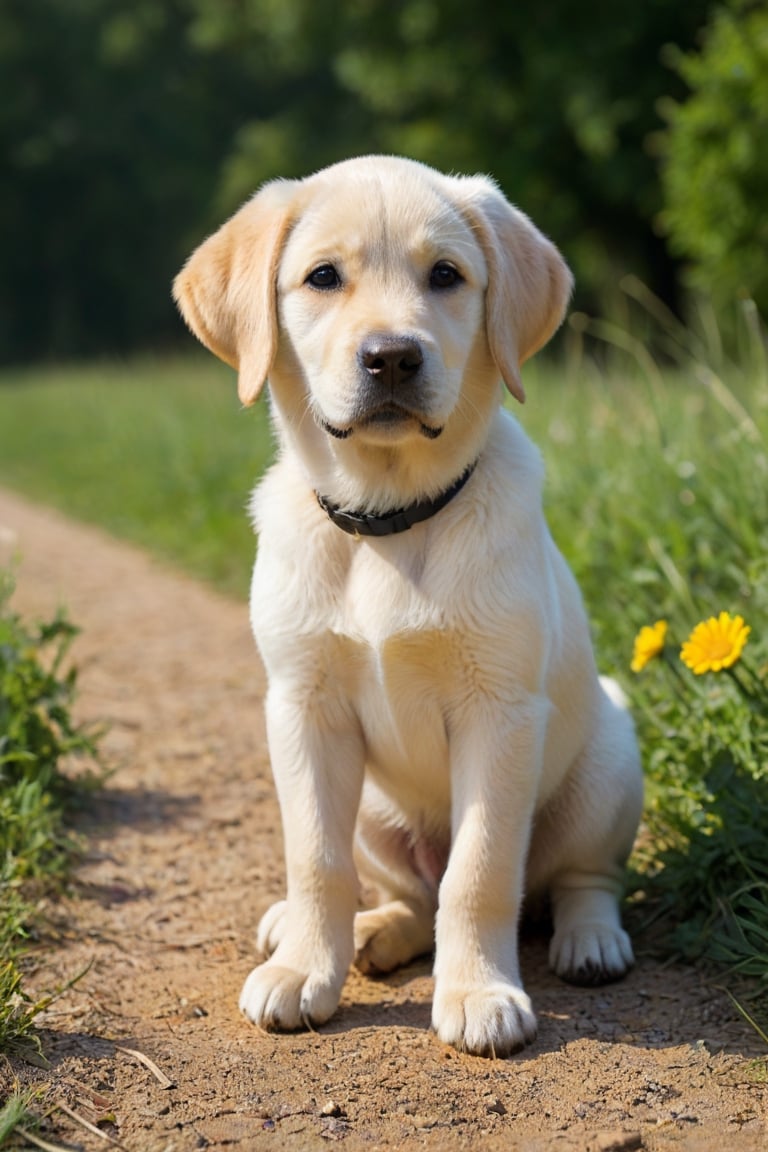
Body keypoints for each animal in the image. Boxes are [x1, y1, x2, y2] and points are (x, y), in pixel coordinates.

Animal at [173, 157, 644, 1055]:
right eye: (323, 277)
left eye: (447, 276)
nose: (391, 357)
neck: (388, 520)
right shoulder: (303, 708)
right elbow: (316, 860)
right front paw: (305, 969)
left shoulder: (500, 713)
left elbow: (481, 869)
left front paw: (479, 992)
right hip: (375, 814)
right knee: (408, 898)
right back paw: (359, 933)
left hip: (607, 760)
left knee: (573, 877)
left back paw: (589, 939)